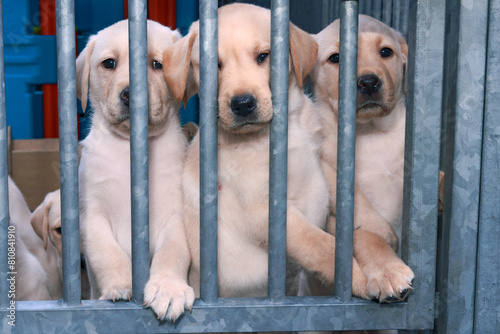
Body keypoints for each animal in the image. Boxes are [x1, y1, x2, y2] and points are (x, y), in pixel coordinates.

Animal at [77, 19, 193, 314]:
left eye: (157, 64)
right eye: (109, 63)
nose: (131, 94)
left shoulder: (176, 215)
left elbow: (172, 253)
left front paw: (168, 288)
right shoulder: (91, 215)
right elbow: (107, 253)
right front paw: (121, 285)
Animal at [152, 3, 376, 318]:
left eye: (263, 56)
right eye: (213, 65)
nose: (243, 104)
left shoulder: (317, 160)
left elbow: (345, 189)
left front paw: (377, 227)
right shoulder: (265, 211)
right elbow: (321, 245)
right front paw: (356, 278)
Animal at [312, 15, 414, 302]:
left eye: (385, 52)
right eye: (336, 58)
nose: (368, 82)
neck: (370, 132)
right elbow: (367, 235)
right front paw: (388, 271)